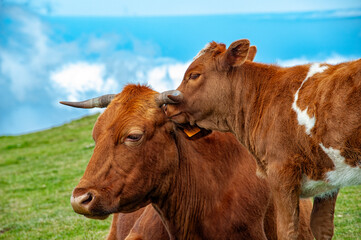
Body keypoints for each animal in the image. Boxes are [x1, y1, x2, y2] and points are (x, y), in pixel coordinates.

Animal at [160, 39, 360, 240]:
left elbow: (287, 231)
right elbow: (322, 228)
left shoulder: (281, 174)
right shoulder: (329, 181)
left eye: (194, 75)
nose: (167, 108)